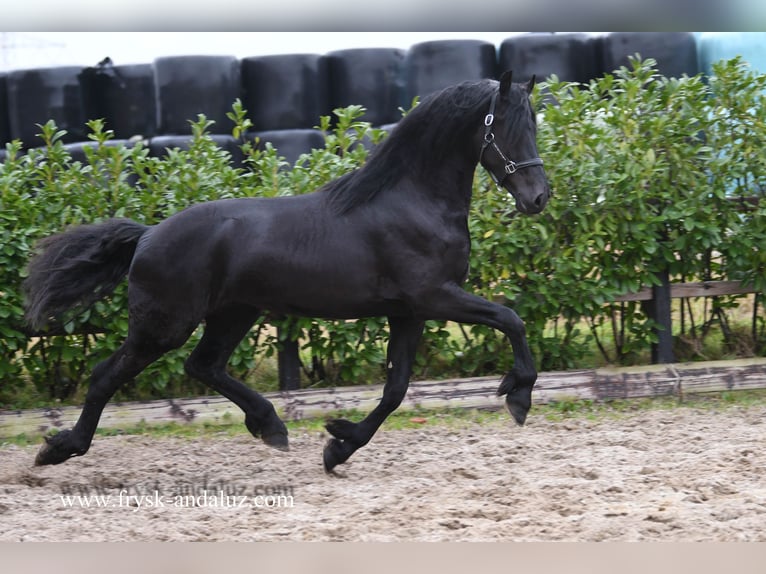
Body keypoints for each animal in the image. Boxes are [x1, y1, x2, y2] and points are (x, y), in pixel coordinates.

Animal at [22, 72, 552, 474]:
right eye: (504, 127)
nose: (538, 198)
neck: (412, 201)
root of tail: (149, 234)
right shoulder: (436, 296)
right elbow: (511, 320)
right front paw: (518, 395)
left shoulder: (409, 312)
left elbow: (396, 389)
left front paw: (339, 445)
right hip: (164, 326)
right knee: (106, 375)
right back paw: (59, 449)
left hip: (233, 313)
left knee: (203, 366)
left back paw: (271, 425)